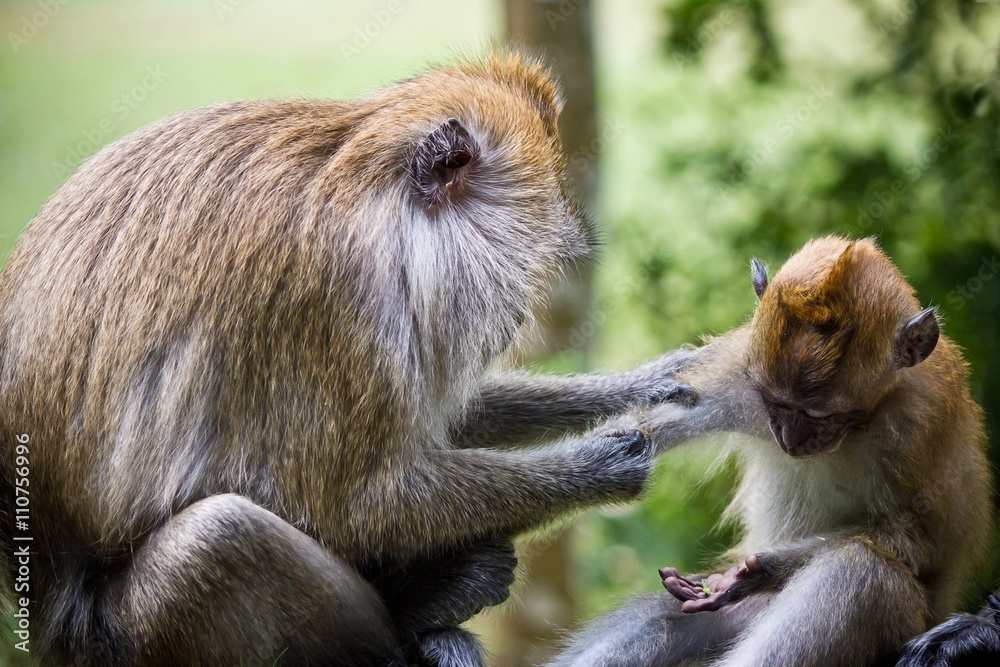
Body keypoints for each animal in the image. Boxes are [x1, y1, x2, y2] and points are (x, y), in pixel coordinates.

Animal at [0, 52, 697, 667]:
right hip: (116, 638)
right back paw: (420, 613)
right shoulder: (332, 292)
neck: (367, 193)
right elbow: (354, 502)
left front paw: (649, 385)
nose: (518, 315)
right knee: (216, 539)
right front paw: (601, 464)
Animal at [550, 236, 993, 667]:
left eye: (824, 415)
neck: (866, 421)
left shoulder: (921, 424)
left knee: (861, 572)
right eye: (775, 404)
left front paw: (759, 571)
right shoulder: (737, 368)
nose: (791, 440)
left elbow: (912, 540)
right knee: (658, 618)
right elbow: (643, 426)